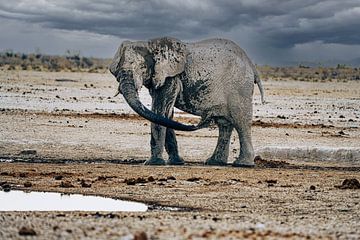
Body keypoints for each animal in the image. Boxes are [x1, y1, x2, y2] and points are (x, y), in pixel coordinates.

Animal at [109, 37, 264, 167]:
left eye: (142, 67)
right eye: (115, 73)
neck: (150, 44)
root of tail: (251, 64)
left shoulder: (171, 77)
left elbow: (160, 112)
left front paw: (153, 163)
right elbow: (165, 115)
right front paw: (176, 162)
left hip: (239, 87)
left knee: (240, 121)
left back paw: (243, 164)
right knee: (225, 124)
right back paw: (215, 162)